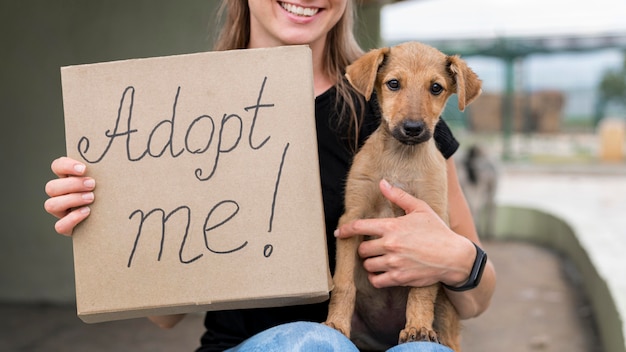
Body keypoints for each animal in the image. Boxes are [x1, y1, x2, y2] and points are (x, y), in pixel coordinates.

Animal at [324, 42, 480, 352]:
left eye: (436, 87)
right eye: (393, 83)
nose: (413, 128)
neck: (401, 158)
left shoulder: (428, 228)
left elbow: (421, 290)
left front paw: (418, 327)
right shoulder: (352, 219)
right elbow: (344, 283)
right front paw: (335, 324)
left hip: (447, 312)